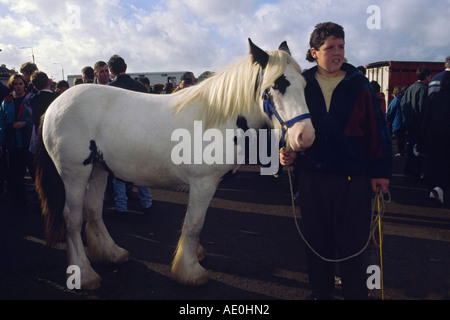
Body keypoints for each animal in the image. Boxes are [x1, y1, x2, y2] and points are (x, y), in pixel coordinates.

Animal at [34, 39, 312, 290]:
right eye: (277, 85)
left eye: (304, 84)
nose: (305, 136)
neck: (218, 118)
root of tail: (54, 105)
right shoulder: (203, 184)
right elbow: (194, 225)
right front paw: (190, 271)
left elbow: (194, 224)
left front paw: (195, 256)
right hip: (74, 174)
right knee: (72, 219)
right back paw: (84, 274)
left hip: (99, 170)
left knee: (93, 211)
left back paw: (112, 253)